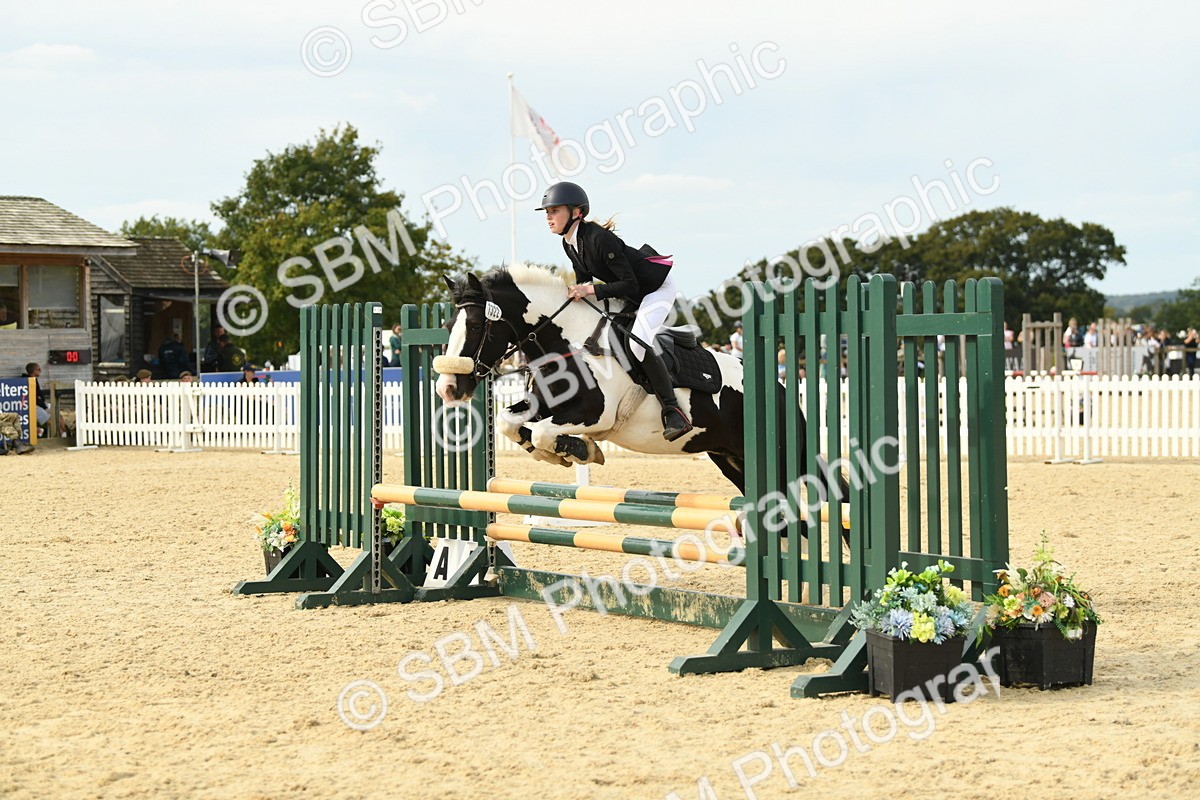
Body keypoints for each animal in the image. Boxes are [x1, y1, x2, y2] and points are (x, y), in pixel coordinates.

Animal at [434, 264, 846, 509]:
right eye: (450, 324)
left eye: (475, 325)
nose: (449, 389)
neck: (570, 342)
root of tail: (780, 388)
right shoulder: (544, 405)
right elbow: (510, 423)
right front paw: (560, 453)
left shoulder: (595, 415)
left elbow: (546, 433)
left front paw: (579, 450)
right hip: (732, 459)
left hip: (781, 456)